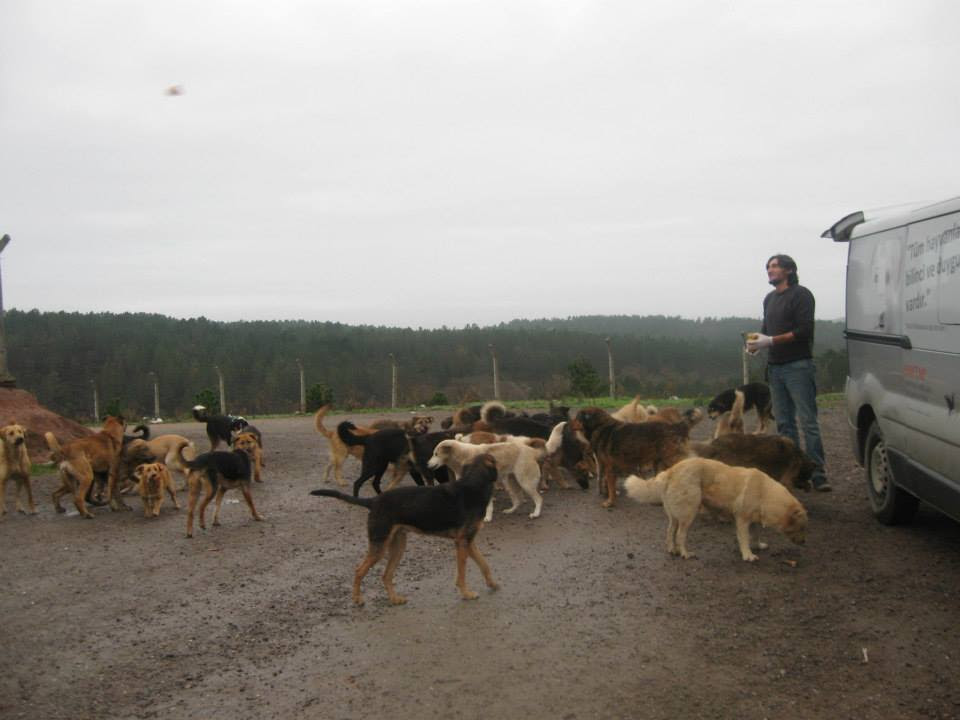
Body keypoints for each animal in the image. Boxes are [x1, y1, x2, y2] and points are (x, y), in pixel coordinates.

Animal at [310, 452, 502, 604]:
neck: (473, 486)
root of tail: (373, 501)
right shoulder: (462, 542)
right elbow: (462, 573)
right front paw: (467, 593)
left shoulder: (469, 541)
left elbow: (484, 564)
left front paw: (492, 584)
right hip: (380, 545)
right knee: (359, 571)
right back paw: (357, 599)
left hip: (398, 545)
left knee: (386, 575)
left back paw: (395, 599)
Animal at [628, 456, 808, 564]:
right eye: (801, 527)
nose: (804, 543)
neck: (765, 493)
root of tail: (670, 471)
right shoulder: (742, 520)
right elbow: (744, 538)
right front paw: (748, 554)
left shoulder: (754, 521)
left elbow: (756, 534)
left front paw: (758, 546)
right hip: (689, 513)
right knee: (680, 535)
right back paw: (685, 553)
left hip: (675, 515)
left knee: (670, 531)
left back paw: (672, 549)